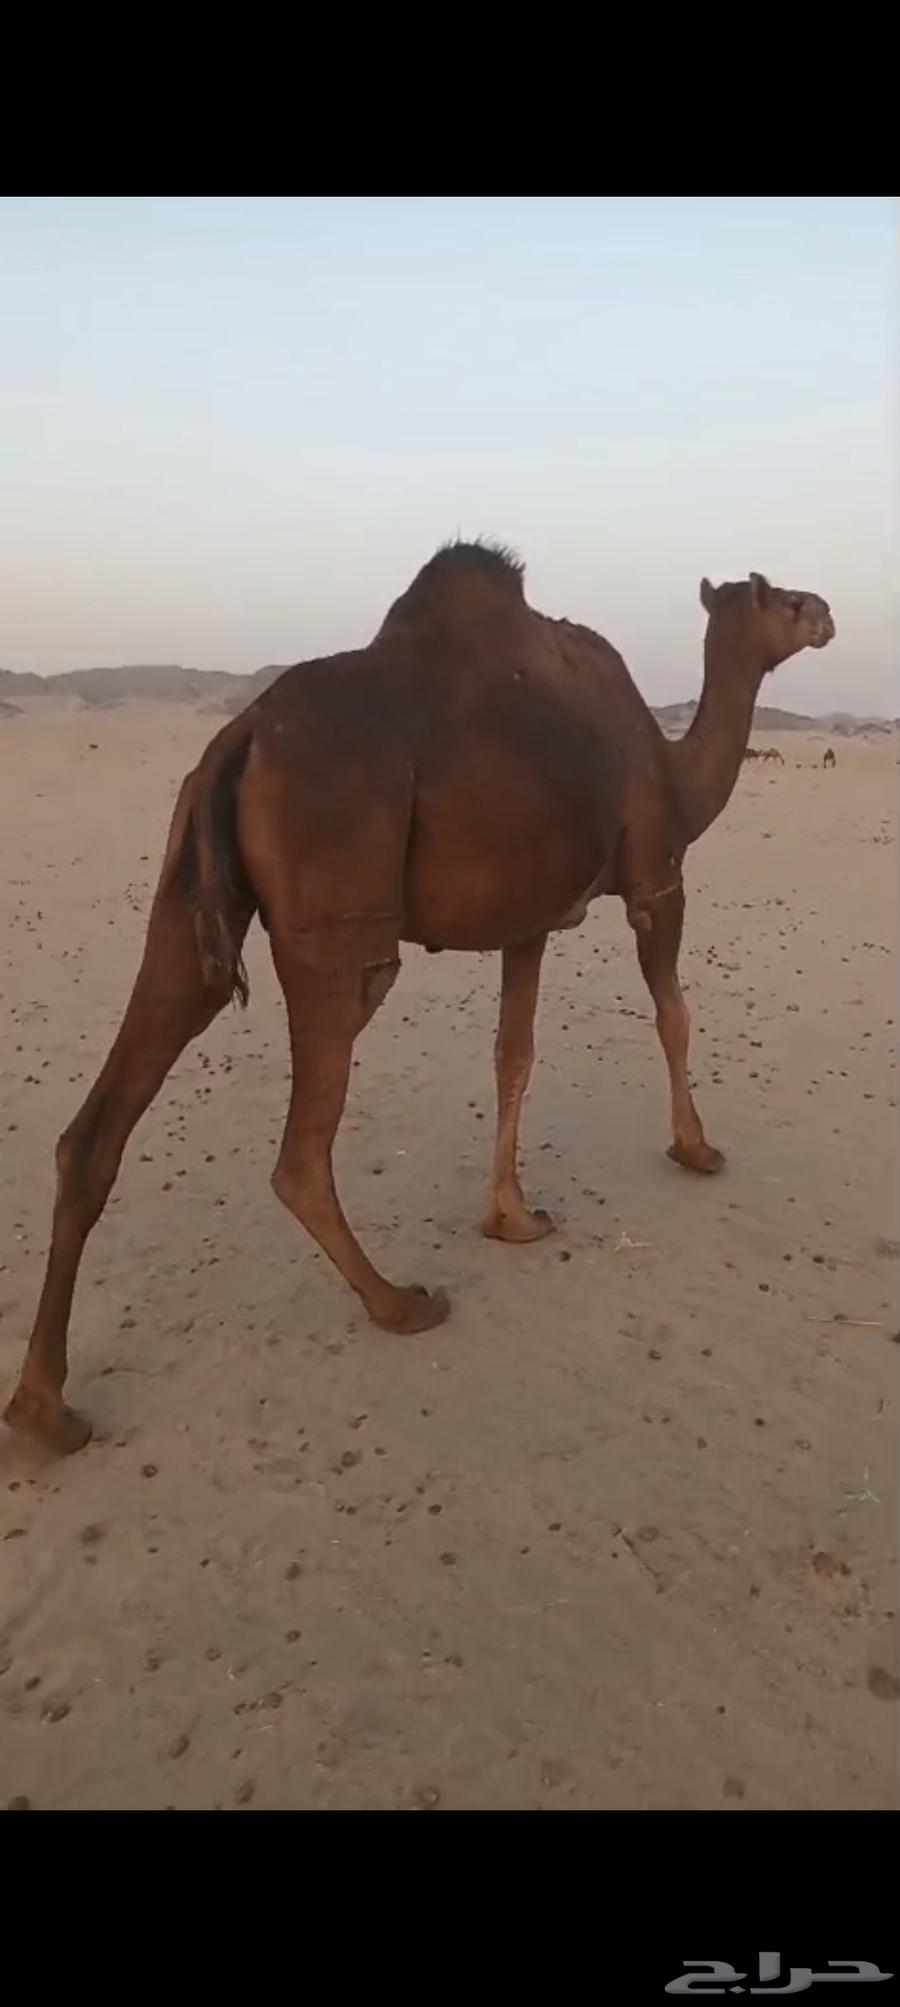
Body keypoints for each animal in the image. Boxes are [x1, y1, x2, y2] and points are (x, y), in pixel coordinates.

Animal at [4, 544, 834, 1455]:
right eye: (783, 599)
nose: (828, 613)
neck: (675, 770)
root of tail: (242, 734)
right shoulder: (657, 874)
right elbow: (673, 1015)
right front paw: (697, 1149)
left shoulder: (531, 916)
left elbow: (514, 1053)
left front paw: (513, 1216)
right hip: (342, 924)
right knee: (301, 1150)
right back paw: (397, 1300)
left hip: (185, 895)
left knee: (108, 1109)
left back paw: (45, 1407)